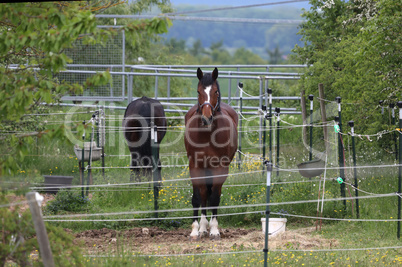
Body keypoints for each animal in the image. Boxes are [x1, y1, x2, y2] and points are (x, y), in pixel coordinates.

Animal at [185, 67, 239, 241]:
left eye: (215, 91)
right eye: (198, 91)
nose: (206, 118)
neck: (208, 134)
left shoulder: (220, 167)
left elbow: (215, 197)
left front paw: (214, 230)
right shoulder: (195, 165)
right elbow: (198, 197)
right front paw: (196, 230)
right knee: (203, 195)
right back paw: (202, 228)